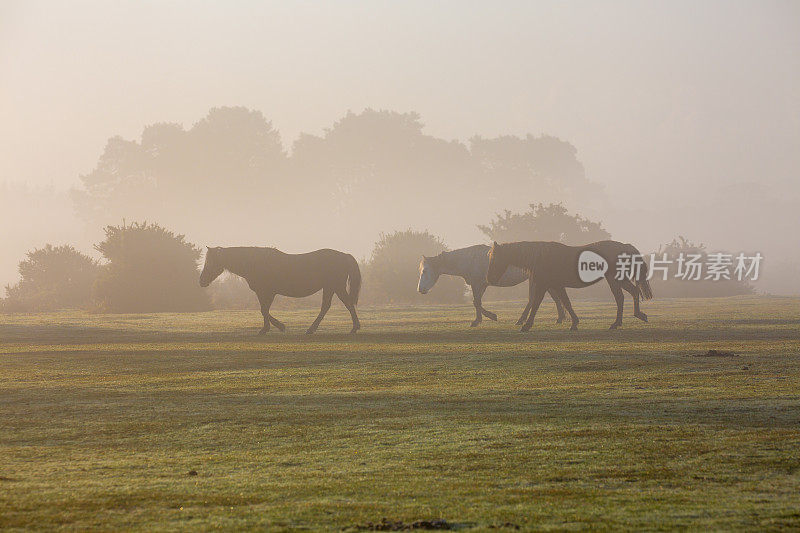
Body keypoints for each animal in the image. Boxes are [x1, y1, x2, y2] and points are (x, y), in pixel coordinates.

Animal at [200, 245, 362, 332]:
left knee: (346, 304)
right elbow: (264, 310)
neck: (256, 263)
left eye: (210, 262)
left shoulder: (268, 292)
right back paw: (313, 329)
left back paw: (354, 327)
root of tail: (344, 255)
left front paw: (271, 327)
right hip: (330, 287)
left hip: (336, 286)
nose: (201, 281)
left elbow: (264, 310)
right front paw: (276, 326)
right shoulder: (262, 293)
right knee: (327, 307)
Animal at [416, 244, 564, 324]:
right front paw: (479, 319)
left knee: (535, 299)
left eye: (425, 270)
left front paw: (488, 317)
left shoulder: (477, 284)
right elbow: (477, 302)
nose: (420, 289)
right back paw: (560, 317)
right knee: (553, 296)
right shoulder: (481, 285)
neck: (468, 259)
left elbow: (477, 302)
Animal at [488, 240, 648, 330]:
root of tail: (624, 246)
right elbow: (566, 302)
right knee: (633, 292)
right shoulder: (556, 285)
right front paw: (574, 323)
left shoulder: (543, 285)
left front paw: (526, 325)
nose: (490, 279)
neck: (540, 257)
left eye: (494, 258)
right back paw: (636, 316)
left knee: (621, 298)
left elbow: (536, 303)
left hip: (614, 279)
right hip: (619, 279)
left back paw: (617, 323)